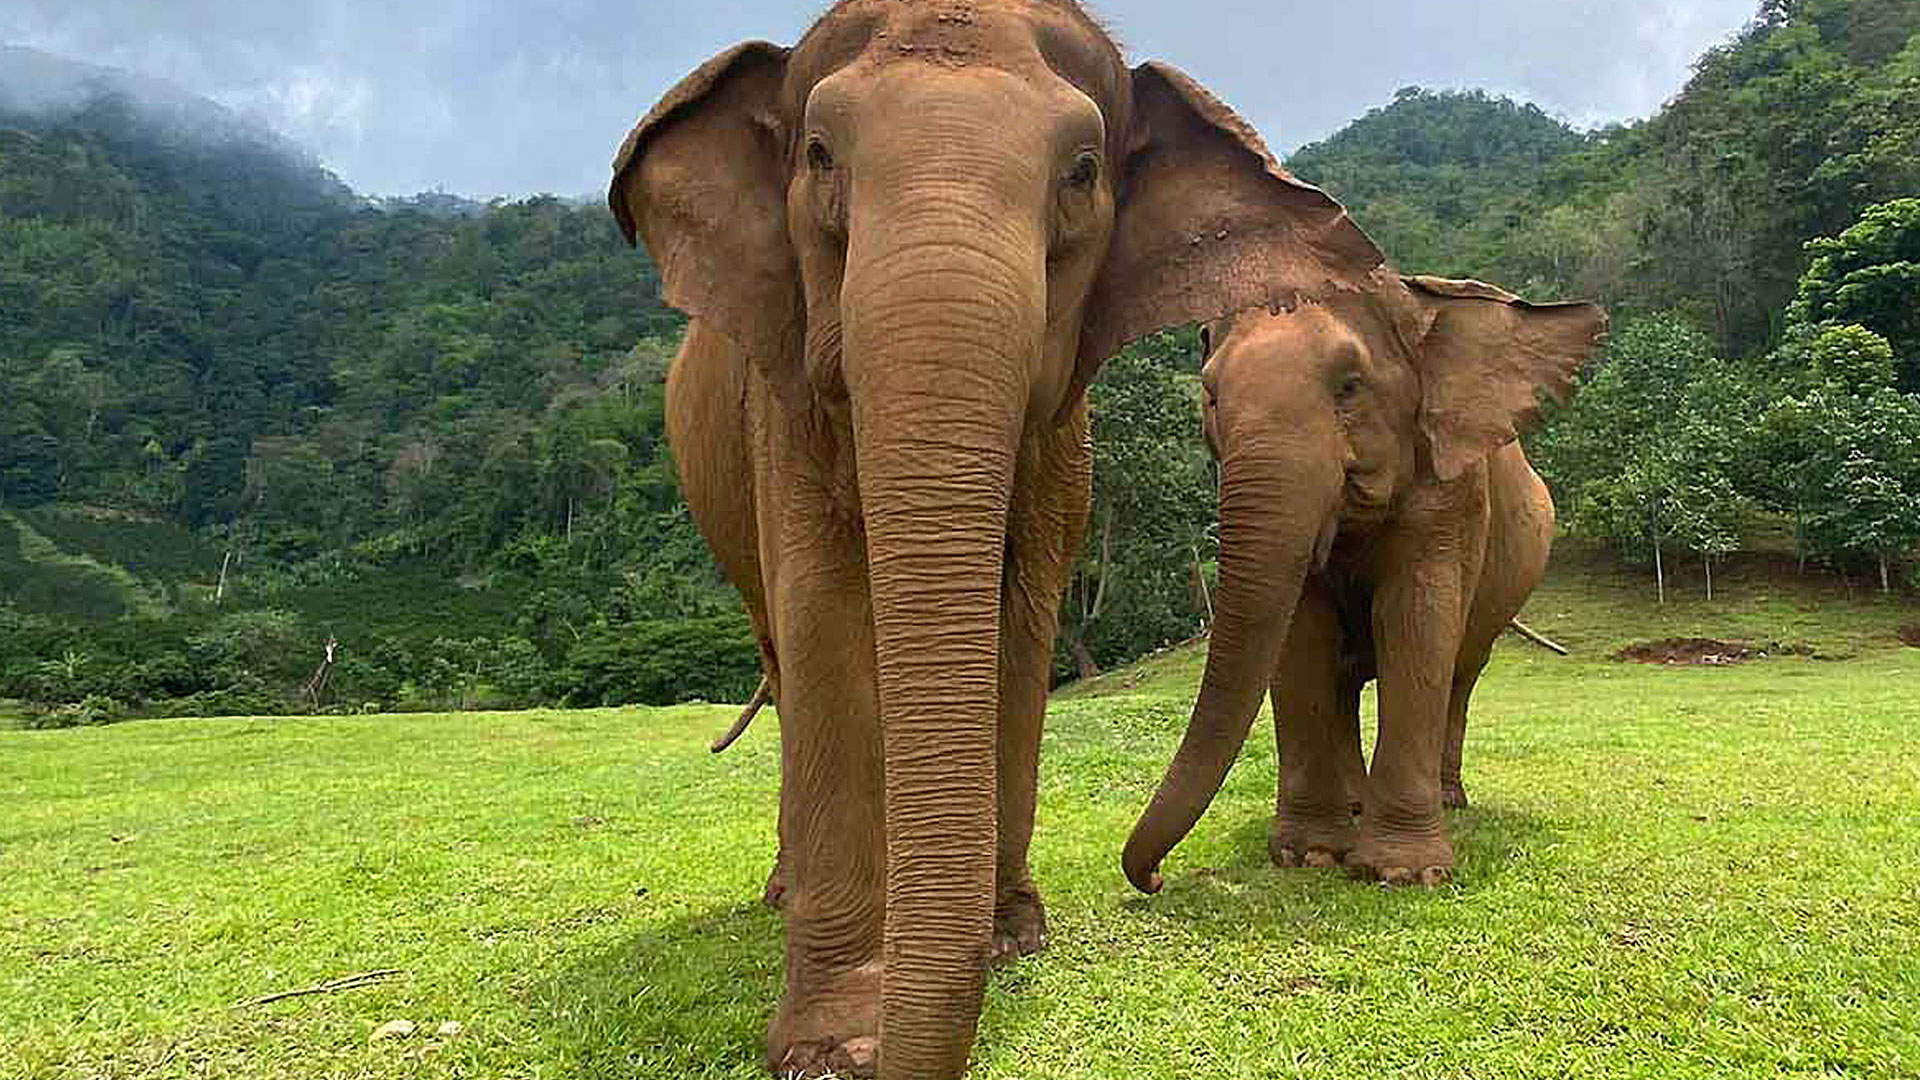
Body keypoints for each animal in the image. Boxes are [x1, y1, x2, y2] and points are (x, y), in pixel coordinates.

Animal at [609, 2, 1385, 1076]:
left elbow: (1022, 626)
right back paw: (780, 893)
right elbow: (824, 617)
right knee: (784, 652)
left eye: (1082, 172)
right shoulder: (784, 405)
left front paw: (1013, 938)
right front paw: (831, 1043)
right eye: (819, 155)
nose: (1150, 885)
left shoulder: (1064, 442)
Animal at [1121, 273, 1606, 892]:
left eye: (1350, 386)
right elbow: (1300, 633)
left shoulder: (1451, 487)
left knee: (1460, 672)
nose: (1155, 878)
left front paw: (1404, 873)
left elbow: (1417, 619)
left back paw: (1448, 801)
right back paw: (1355, 806)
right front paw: (1310, 856)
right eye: (1210, 396)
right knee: (1346, 679)